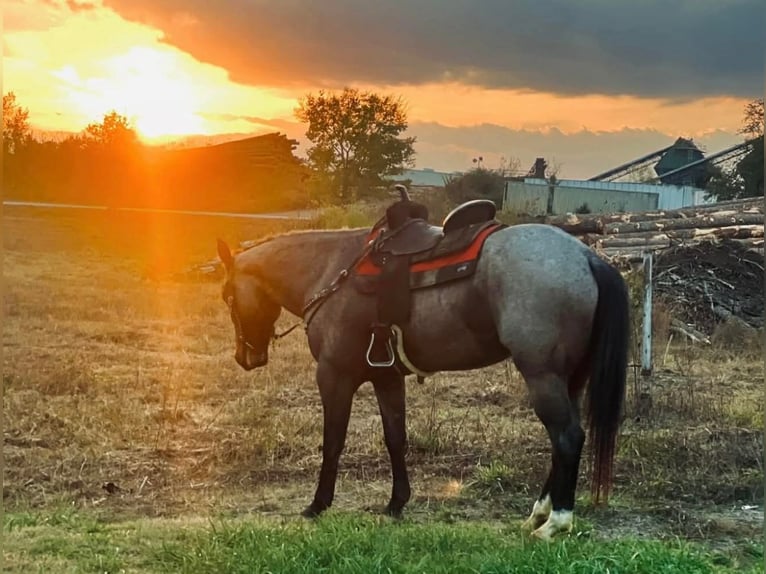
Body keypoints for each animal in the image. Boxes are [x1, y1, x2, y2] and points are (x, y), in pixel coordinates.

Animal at [215, 196, 629, 541]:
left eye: (228, 295)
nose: (245, 357)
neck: (331, 270)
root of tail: (586, 257)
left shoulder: (334, 375)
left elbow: (333, 441)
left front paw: (318, 505)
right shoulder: (385, 377)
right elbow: (395, 438)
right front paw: (396, 503)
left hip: (543, 377)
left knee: (567, 437)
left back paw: (555, 523)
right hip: (570, 379)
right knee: (562, 441)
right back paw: (539, 514)